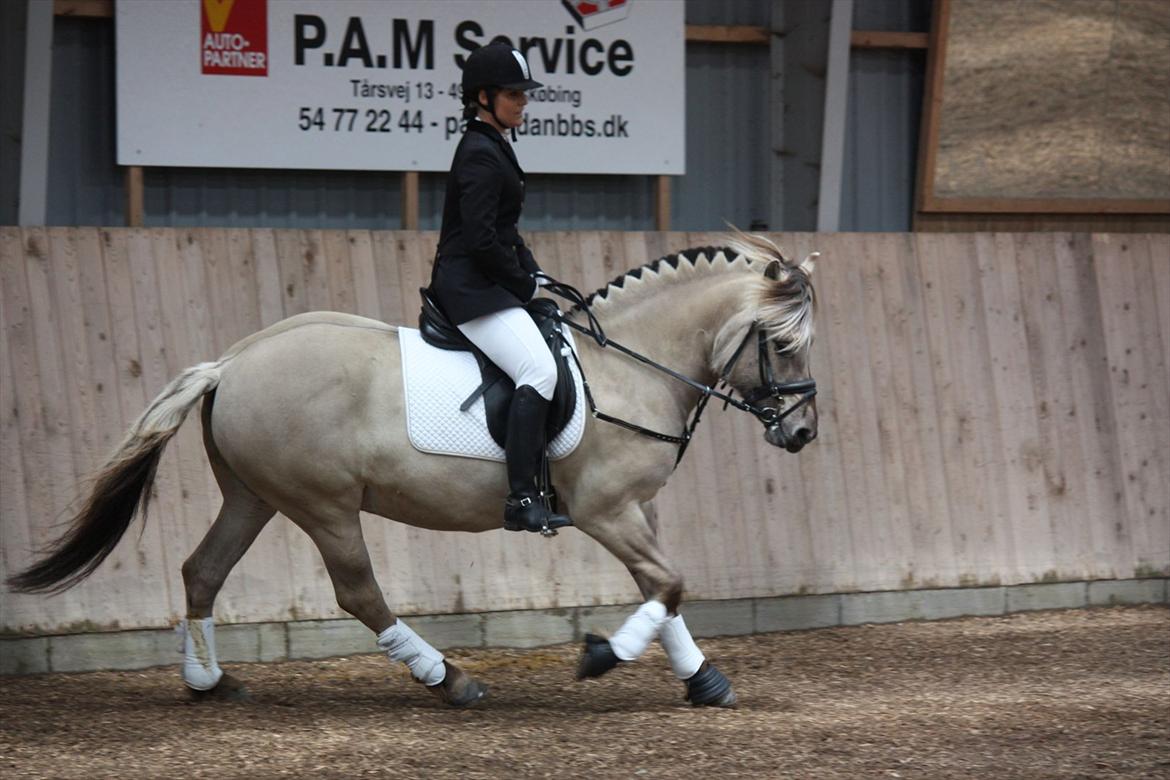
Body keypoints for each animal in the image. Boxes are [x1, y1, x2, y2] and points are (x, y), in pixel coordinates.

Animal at [9, 230, 819, 706]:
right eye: (782, 343)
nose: (804, 432)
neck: (626, 367)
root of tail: (231, 363)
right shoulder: (604, 509)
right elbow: (669, 583)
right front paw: (600, 658)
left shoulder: (634, 508)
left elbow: (665, 586)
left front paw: (704, 679)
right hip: (324, 504)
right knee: (357, 592)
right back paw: (448, 679)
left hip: (252, 496)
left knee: (202, 570)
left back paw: (207, 681)